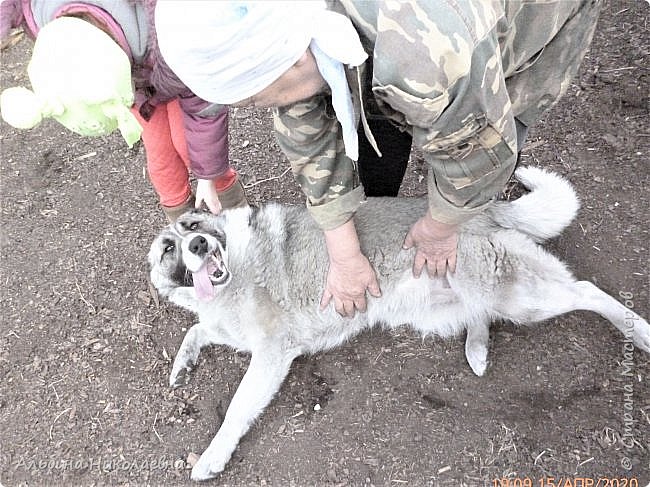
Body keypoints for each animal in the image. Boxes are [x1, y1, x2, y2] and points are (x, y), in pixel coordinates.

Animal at [147, 167, 648, 480]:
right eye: (168, 250)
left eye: (193, 226)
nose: (196, 244)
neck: (234, 266)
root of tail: (484, 211)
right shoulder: (228, 329)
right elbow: (197, 330)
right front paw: (182, 364)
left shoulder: (271, 355)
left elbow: (235, 410)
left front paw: (213, 455)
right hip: (446, 307)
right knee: (482, 314)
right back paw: (478, 348)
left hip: (520, 297)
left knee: (587, 291)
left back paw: (639, 332)